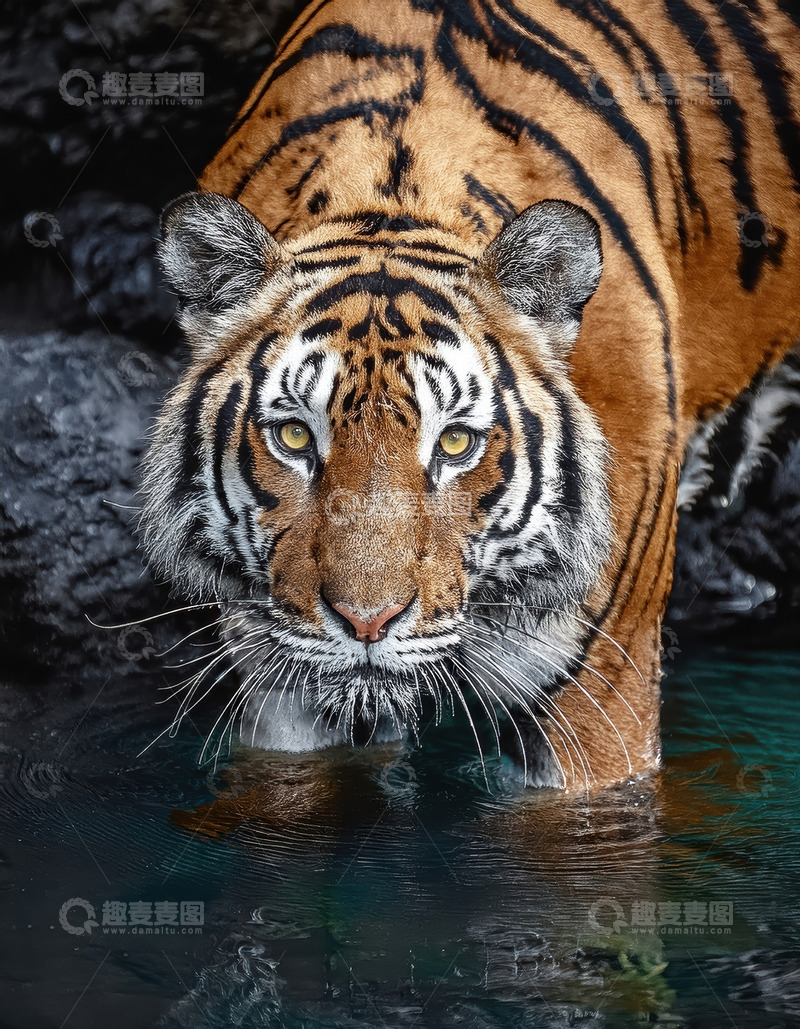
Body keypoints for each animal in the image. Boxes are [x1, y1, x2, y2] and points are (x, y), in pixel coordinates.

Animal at [141, 0, 800, 791]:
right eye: (295, 436)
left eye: (455, 442)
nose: (367, 623)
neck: (389, 190)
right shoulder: (278, 673)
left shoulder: (599, 689)